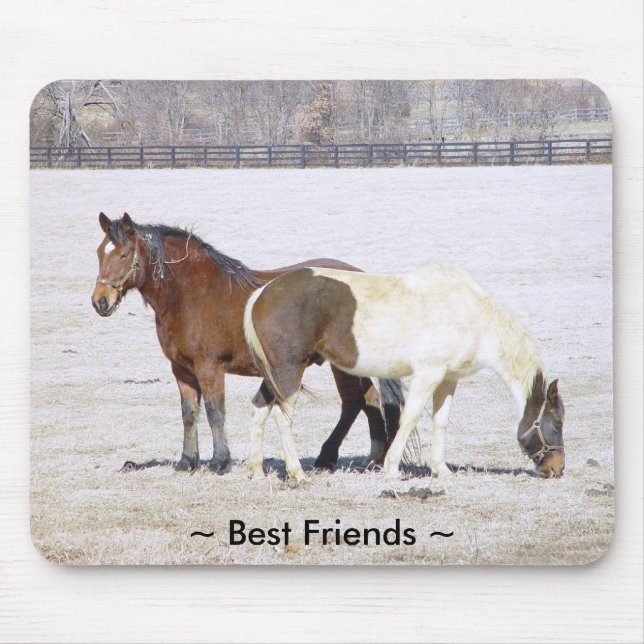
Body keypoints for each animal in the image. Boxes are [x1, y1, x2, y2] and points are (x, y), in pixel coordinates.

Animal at [91, 212, 404, 475]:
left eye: (124, 254)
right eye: (99, 253)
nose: (100, 301)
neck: (192, 292)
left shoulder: (209, 367)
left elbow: (215, 412)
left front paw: (220, 462)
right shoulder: (181, 369)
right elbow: (189, 414)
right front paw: (187, 461)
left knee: (354, 402)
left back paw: (334, 457)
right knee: (367, 399)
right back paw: (369, 460)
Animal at [243, 264, 566, 480]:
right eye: (557, 422)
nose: (558, 467)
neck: (471, 313)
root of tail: (261, 293)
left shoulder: (448, 379)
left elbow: (440, 421)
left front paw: (441, 469)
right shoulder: (428, 375)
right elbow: (410, 418)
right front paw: (392, 468)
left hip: (275, 376)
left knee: (259, 408)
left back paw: (256, 470)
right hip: (289, 373)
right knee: (282, 417)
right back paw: (297, 473)